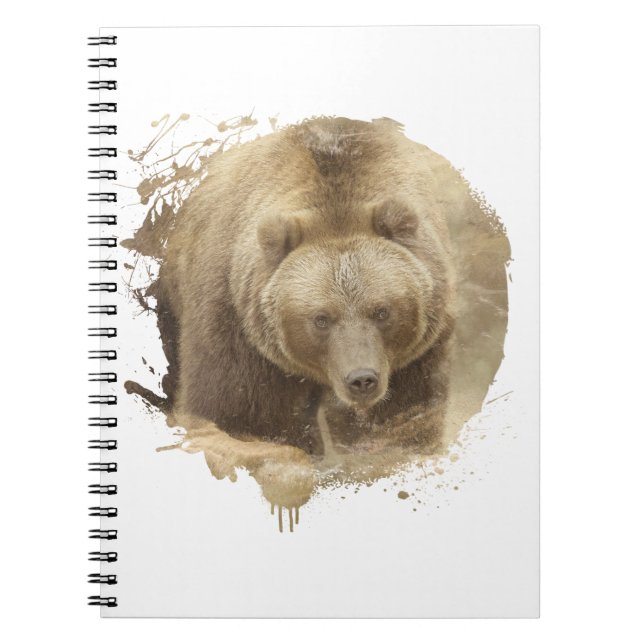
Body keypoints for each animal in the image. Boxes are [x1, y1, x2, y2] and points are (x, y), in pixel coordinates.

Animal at [154, 117, 457, 457]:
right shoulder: (235, 326)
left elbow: (404, 422)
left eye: (382, 311)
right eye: (321, 318)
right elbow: (238, 417)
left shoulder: (418, 353)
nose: (362, 379)